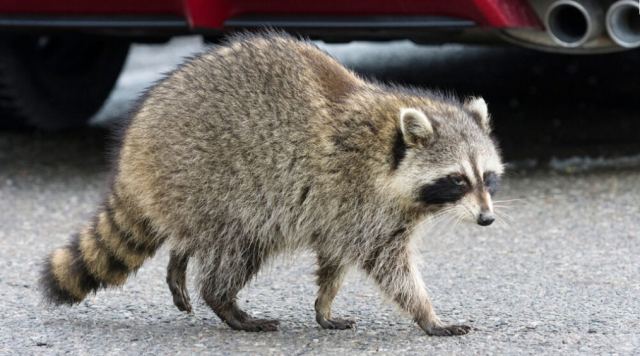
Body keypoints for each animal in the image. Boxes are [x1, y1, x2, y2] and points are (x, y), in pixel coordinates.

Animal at [38, 32, 504, 336]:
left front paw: (324, 303)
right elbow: (389, 267)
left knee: (195, 236)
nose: (487, 219)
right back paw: (226, 305)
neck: (389, 144)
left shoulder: (343, 211)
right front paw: (427, 315)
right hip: (215, 182)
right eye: (457, 180)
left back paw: (180, 259)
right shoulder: (360, 200)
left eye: (487, 178)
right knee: (236, 249)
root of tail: (134, 149)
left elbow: (333, 260)